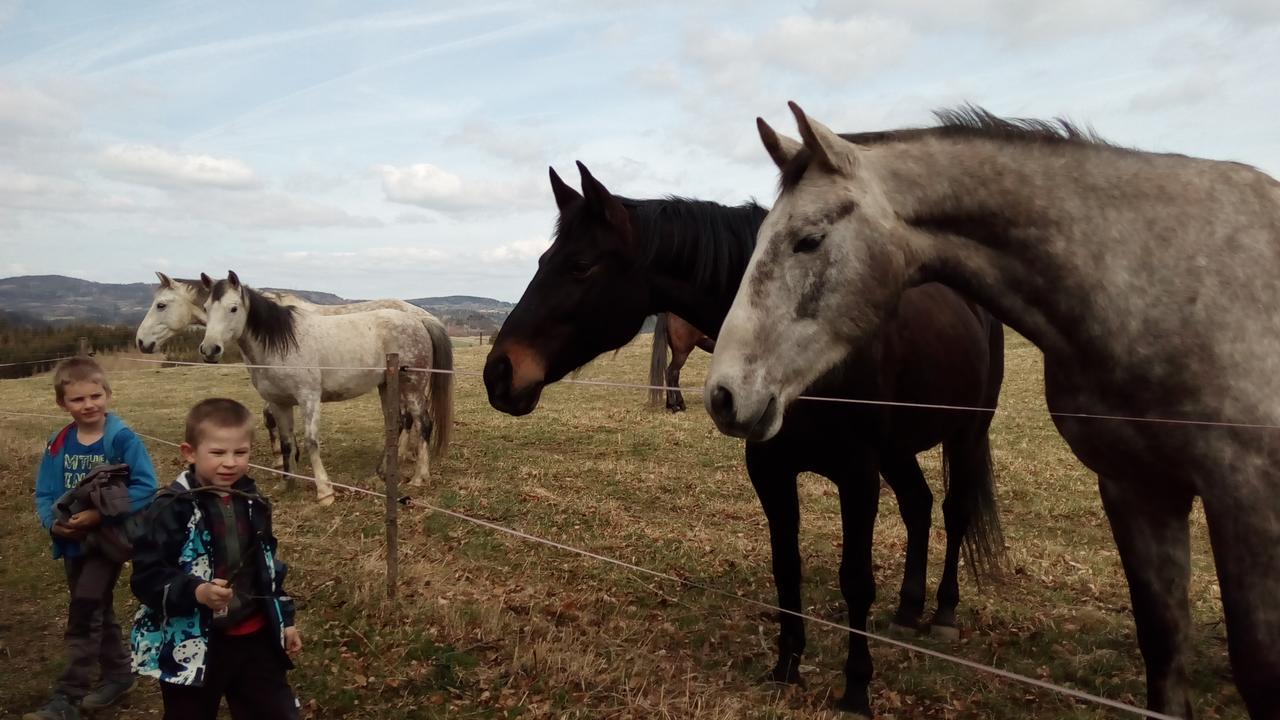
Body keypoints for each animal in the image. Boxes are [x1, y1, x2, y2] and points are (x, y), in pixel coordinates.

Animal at [483, 163, 1003, 717]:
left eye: (580, 266)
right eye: (544, 260)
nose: (499, 372)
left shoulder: (857, 474)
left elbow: (856, 580)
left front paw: (856, 689)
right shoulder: (771, 469)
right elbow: (786, 566)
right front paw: (787, 666)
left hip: (966, 435)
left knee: (954, 511)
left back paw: (943, 614)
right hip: (899, 450)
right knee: (918, 505)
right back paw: (908, 608)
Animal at [706, 103, 1274, 712]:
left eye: (808, 240)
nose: (722, 394)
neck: (1147, 282)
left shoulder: (1246, 497)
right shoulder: (1138, 488)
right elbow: (1163, 649)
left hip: (965, 434)